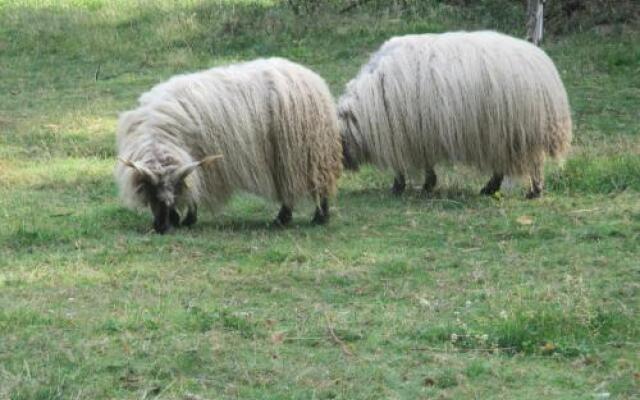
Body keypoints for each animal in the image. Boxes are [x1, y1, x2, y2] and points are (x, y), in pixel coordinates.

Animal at [117, 57, 342, 233]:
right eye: (151, 191)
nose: (162, 228)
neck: (162, 133)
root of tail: (312, 79)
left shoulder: (201, 159)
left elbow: (196, 191)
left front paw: (188, 219)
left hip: (305, 153)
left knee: (314, 185)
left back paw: (313, 218)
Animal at [338, 30, 572, 198]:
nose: (342, 167)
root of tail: (545, 70)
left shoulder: (401, 135)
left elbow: (401, 166)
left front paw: (400, 187)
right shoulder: (418, 135)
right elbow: (425, 163)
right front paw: (427, 184)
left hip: (518, 133)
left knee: (533, 163)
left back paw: (531, 191)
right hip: (505, 136)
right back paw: (493, 189)